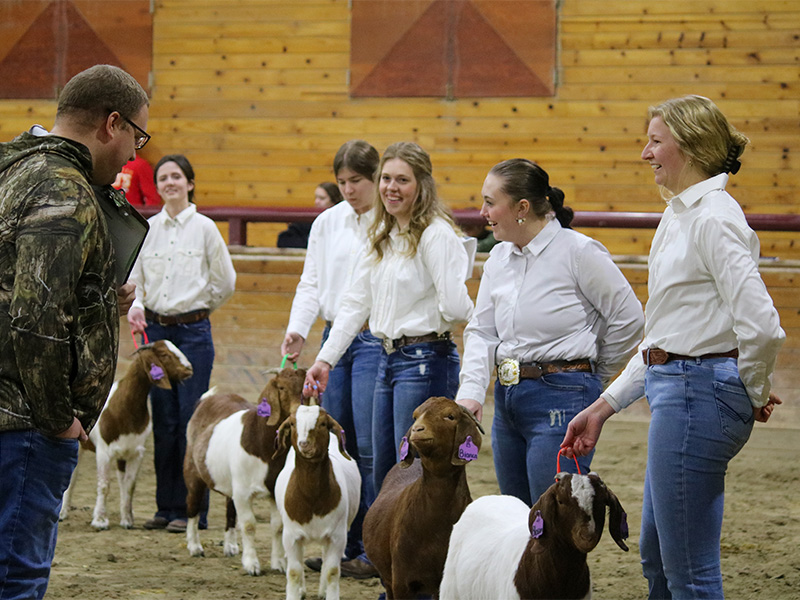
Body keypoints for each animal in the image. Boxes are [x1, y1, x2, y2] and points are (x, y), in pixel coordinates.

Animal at [59, 342, 194, 528]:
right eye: (165, 354)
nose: (189, 369)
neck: (124, 408)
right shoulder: (103, 451)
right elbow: (104, 485)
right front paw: (100, 520)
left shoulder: (136, 452)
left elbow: (129, 485)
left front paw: (128, 520)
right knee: (71, 479)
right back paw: (62, 513)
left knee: (121, 479)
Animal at [184, 366, 306, 576]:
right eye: (281, 387)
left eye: (304, 388)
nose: (297, 414)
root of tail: (207, 400)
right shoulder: (243, 490)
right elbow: (249, 525)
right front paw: (251, 565)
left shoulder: (274, 490)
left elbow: (278, 526)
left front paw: (279, 563)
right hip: (193, 470)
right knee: (192, 505)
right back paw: (195, 547)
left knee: (230, 511)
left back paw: (230, 546)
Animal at [276, 404, 362, 600]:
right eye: (292, 424)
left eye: (323, 424)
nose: (304, 444)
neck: (311, 498)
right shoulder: (291, 536)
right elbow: (294, 571)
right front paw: (295, 593)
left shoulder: (337, 536)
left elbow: (332, 571)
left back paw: (322, 591)